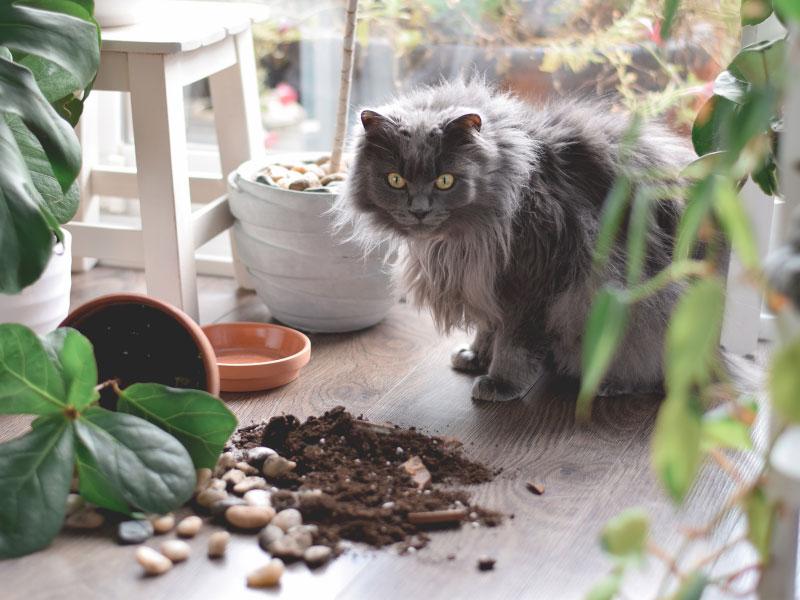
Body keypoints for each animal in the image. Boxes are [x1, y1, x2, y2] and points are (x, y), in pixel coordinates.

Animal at [332, 77, 692, 400]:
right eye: (395, 180)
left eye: (445, 180)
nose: (419, 210)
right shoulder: (483, 278)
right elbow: (488, 326)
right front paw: (476, 356)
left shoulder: (531, 281)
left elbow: (514, 344)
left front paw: (501, 382)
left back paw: (610, 385)